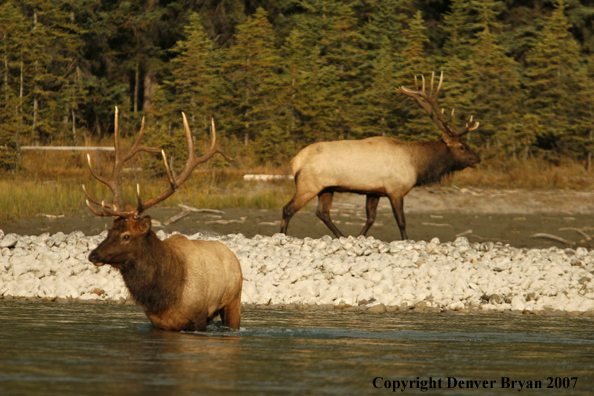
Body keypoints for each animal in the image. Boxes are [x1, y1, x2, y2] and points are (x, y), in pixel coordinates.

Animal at [82, 107, 240, 332]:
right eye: (109, 231)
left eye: (126, 236)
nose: (94, 255)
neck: (163, 295)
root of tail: (231, 254)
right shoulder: (158, 323)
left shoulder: (199, 316)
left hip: (234, 300)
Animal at [280, 71, 478, 240]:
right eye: (462, 146)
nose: (477, 158)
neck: (417, 165)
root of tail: (295, 161)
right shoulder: (395, 189)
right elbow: (401, 221)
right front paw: (405, 240)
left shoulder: (374, 191)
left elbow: (371, 218)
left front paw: (359, 237)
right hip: (308, 184)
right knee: (288, 209)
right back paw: (282, 235)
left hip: (327, 188)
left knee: (322, 212)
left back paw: (342, 236)